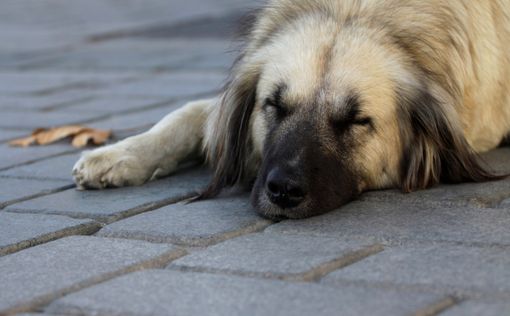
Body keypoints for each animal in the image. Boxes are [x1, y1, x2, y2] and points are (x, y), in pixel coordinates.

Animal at [72, 0, 510, 218]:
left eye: (357, 120)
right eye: (274, 105)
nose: (283, 191)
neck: (356, 12)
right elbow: (187, 115)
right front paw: (118, 155)